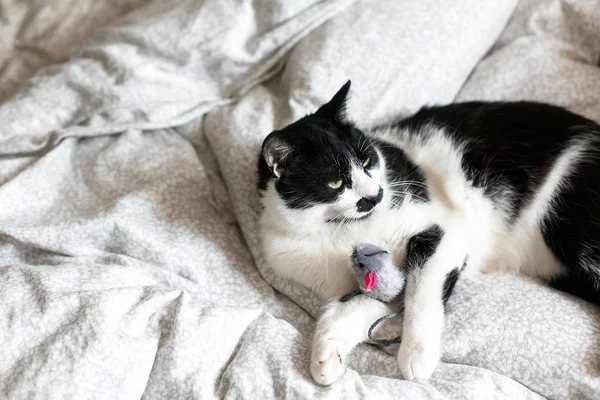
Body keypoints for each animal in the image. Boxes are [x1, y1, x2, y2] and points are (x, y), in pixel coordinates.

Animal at [254, 80, 600, 384]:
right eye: (335, 182)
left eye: (367, 161)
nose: (376, 195)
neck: (341, 230)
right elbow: (351, 309)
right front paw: (324, 358)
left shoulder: (446, 229)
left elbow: (422, 292)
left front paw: (416, 355)